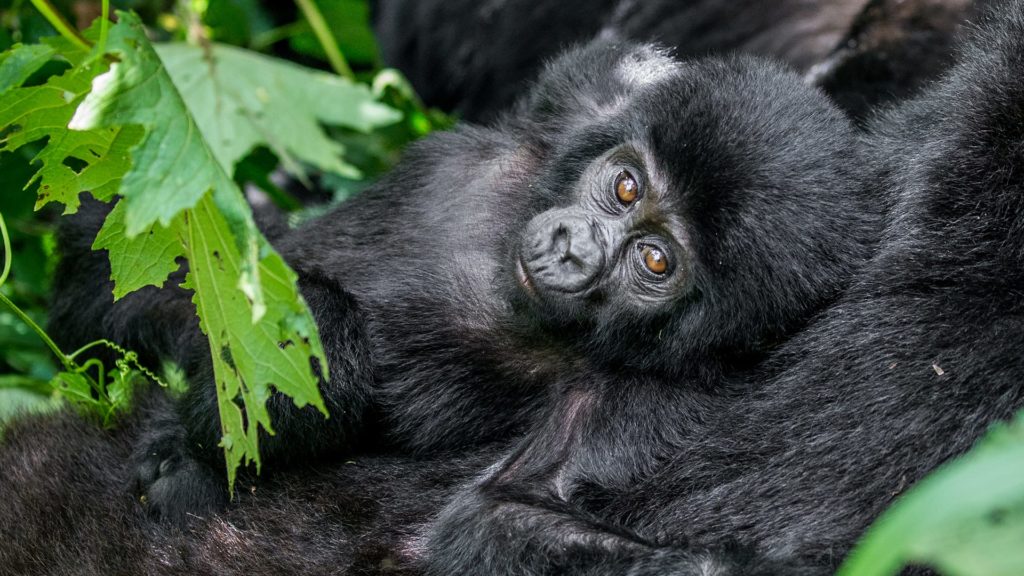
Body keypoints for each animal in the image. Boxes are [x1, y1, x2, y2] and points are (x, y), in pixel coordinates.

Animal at [49, 38, 880, 522]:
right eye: (625, 187)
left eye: (655, 261)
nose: (574, 249)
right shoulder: (586, 104)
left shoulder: (638, 405)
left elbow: (490, 524)